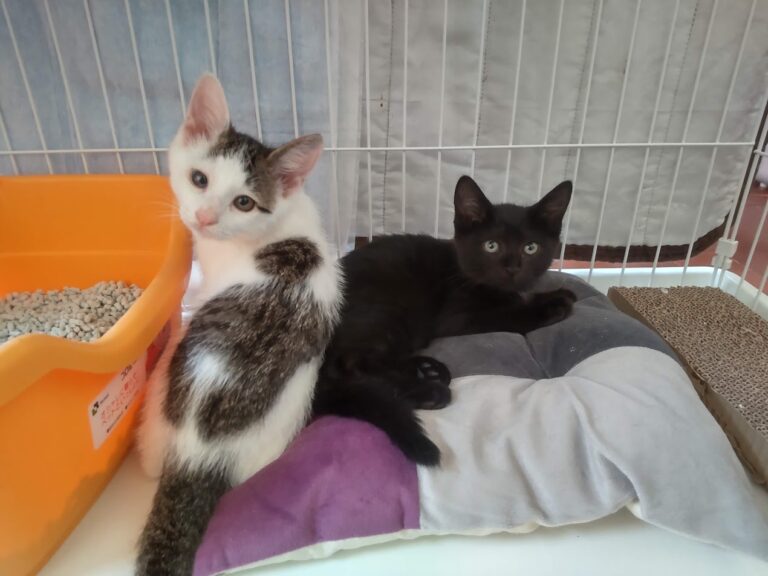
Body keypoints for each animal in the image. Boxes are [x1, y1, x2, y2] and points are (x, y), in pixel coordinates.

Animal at [313, 175, 575, 465]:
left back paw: (425, 369)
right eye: (491, 246)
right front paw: (553, 305)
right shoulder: (458, 315)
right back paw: (429, 392)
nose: (512, 268)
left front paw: (559, 293)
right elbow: (510, 313)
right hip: (387, 309)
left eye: (530, 248)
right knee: (348, 365)